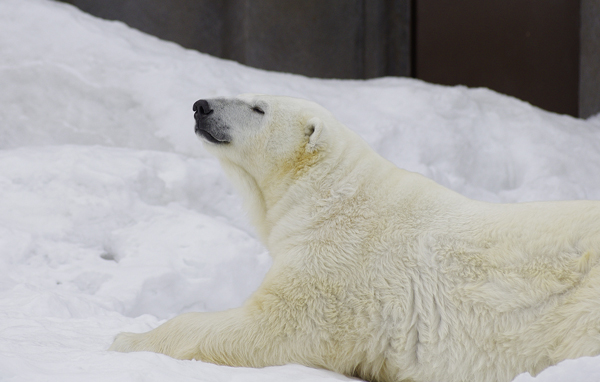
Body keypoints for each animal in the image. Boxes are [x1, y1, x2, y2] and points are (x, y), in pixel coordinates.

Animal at [110, 94, 600, 382]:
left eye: (258, 108)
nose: (201, 106)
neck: (329, 197)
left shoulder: (336, 271)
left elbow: (266, 330)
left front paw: (127, 340)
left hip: (578, 305)